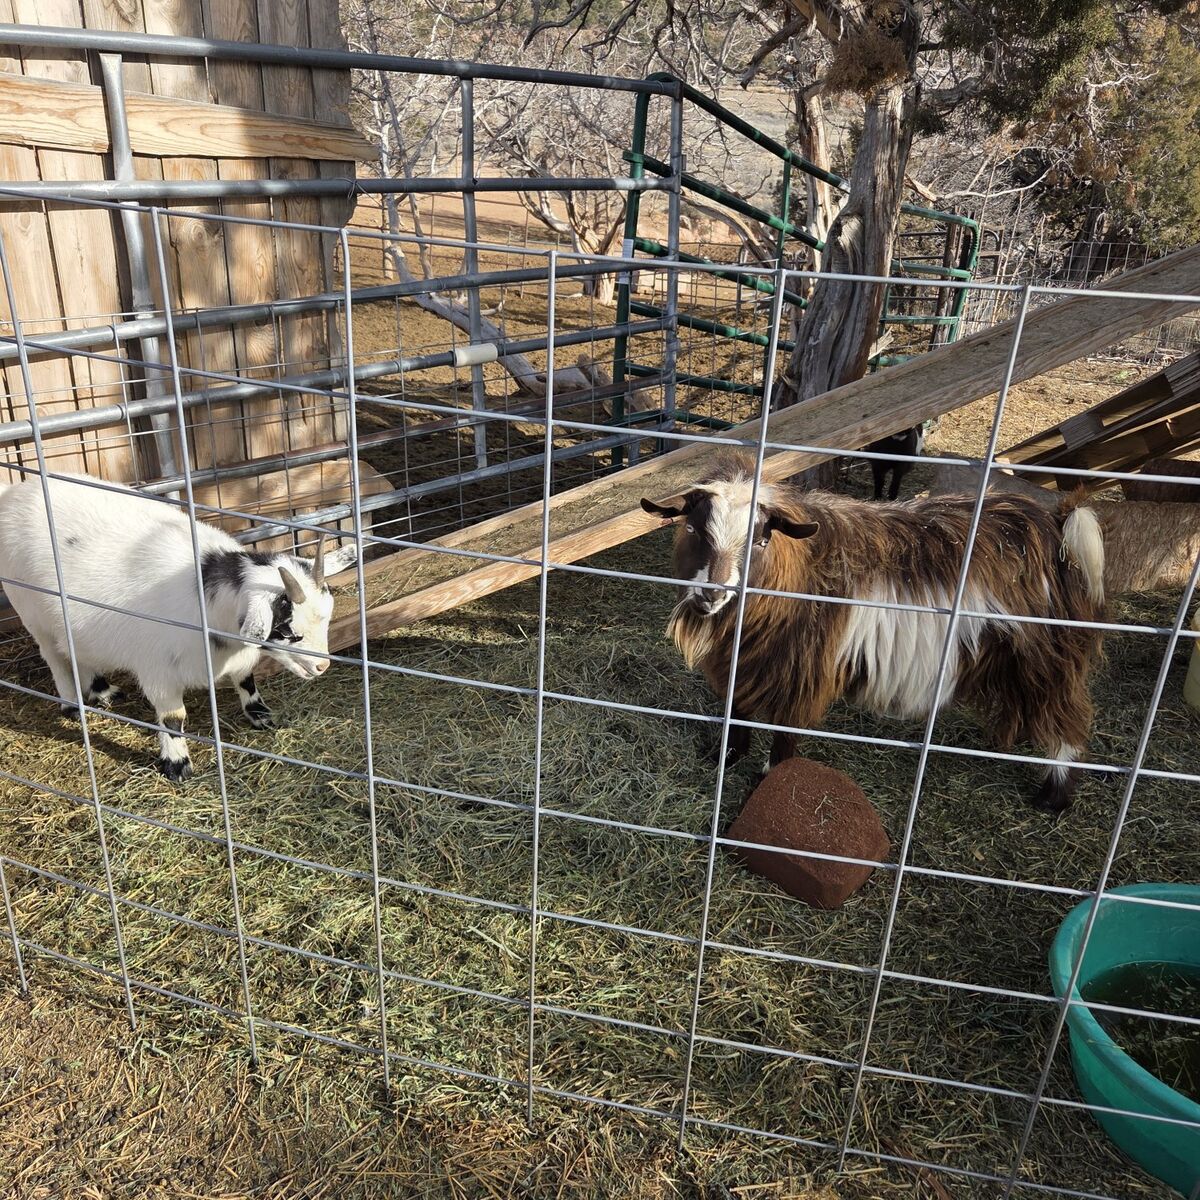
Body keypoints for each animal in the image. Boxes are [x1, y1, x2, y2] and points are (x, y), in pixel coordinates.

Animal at [0, 473, 357, 781]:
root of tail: (13, 492)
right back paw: (73, 706)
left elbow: (247, 680)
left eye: (327, 618)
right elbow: (173, 719)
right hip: (33, 614)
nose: (322, 667)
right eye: (287, 631)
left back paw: (103, 690)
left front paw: (261, 715)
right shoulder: (158, 670)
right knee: (55, 657)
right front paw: (176, 765)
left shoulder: (237, 657)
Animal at [641, 454, 1106, 814]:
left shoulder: (801, 671)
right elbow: (737, 709)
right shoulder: (744, 662)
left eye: (760, 540)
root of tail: (1056, 528)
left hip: (1047, 657)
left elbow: (786, 729)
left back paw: (1054, 796)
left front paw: (771, 777)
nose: (712, 593)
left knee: (1069, 719)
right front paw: (726, 757)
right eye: (694, 529)